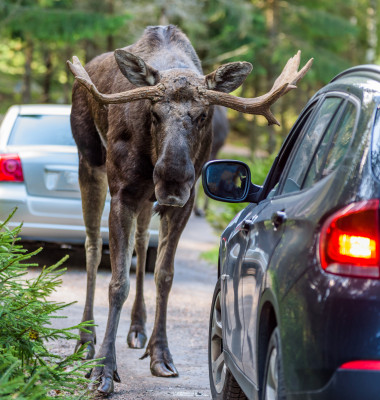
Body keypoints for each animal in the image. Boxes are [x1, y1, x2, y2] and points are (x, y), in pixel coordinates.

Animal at [67, 25, 312, 394]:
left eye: (202, 115)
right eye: (154, 113)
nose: (172, 178)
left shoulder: (183, 201)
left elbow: (165, 276)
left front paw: (161, 355)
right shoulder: (122, 191)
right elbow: (118, 283)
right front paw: (103, 370)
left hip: (146, 197)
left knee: (142, 241)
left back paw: (137, 329)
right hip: (90, 160)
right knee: (93, 246)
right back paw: (85, 340)